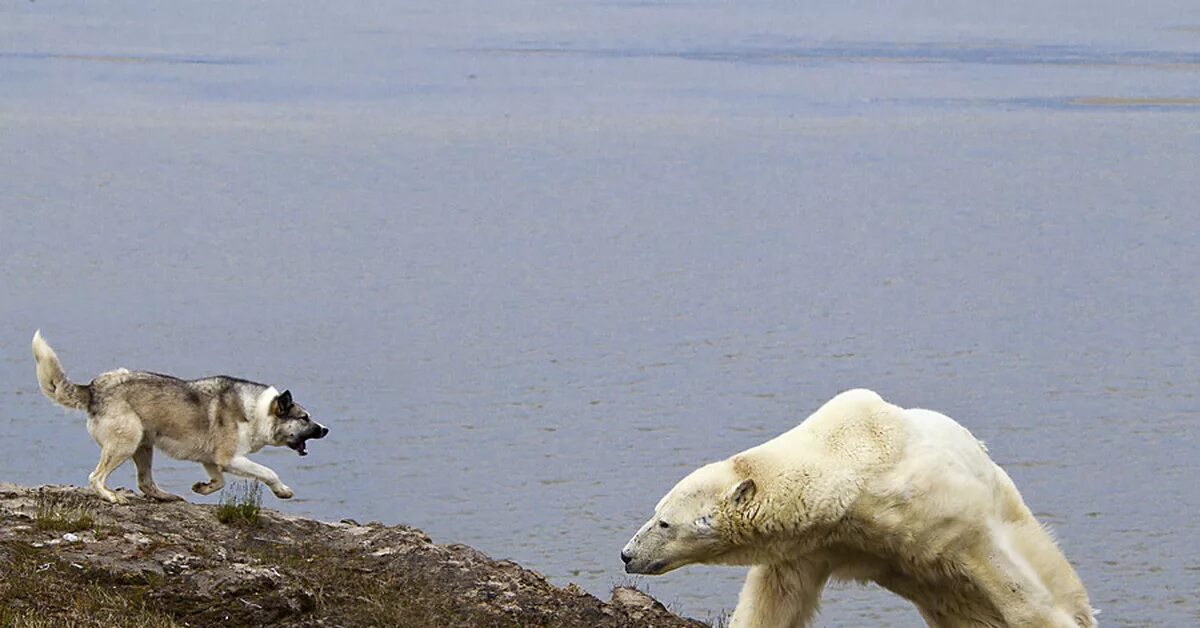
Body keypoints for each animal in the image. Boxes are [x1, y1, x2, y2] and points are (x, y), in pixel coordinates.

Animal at [29, 331, 328, 504]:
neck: (257, 411)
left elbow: (219, 482)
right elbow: (267, 472)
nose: (325, 430)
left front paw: (203, 488)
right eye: (304, 418)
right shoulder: (230, 458)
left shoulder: (211, 460)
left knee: (145, 482)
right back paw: (110, 497)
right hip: (127, 442)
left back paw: (165, 496)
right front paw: (283, 490)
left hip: (143, 446)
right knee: (96, 476)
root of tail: (94, 388)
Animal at [624, 391, 1094, 624]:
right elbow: (774, 600)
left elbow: (1009, 584)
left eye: (664, 523)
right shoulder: (816, 544)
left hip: (1018, 519)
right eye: (655, 511)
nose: (627, 555)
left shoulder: (941, 511)